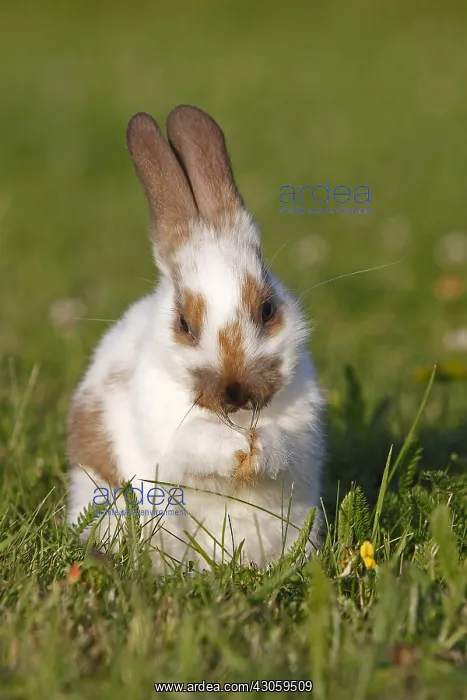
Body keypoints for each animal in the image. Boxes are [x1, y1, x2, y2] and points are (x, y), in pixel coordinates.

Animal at [67, 105, 325, 573]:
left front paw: (257, 447)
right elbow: (194, 448)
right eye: (184, 323)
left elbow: (285, 445)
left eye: (268, 309)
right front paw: (238, 448)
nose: (237, 393)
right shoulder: (167, 433)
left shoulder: (304, 427)